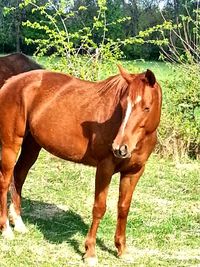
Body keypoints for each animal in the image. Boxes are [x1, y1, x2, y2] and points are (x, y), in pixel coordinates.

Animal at [0, 66, 161, 266]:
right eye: (123, 106)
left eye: (146, 107)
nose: (119, 148)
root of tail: (11, 82)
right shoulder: (105, 168)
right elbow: (99, 208)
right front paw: (90, 252)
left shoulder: (134, 172)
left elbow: (124, 208)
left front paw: (122, 250)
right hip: (11, 144)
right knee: (5, 181)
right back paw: (6, 229)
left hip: (32, 145)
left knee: (19, 176)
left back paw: (19, 223)